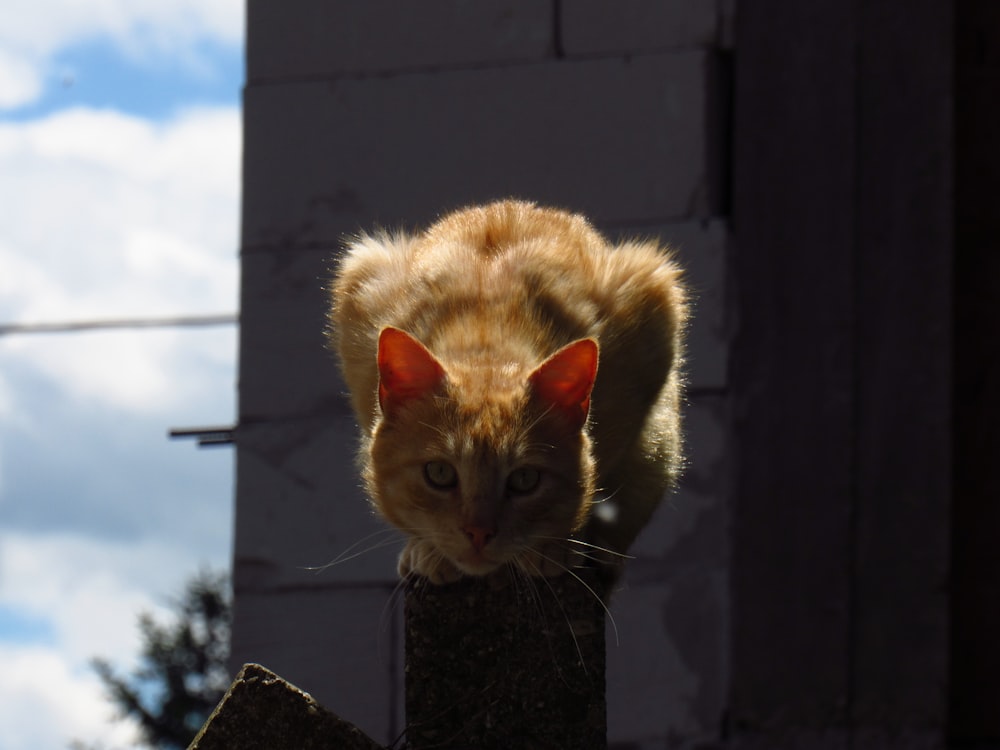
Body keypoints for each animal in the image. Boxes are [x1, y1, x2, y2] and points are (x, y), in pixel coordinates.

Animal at [332, 200, 684, 588]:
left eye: (525, 480)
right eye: (438, 473)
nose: (479, 533)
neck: (487, 333)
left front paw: (554, 547)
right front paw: (427, 551)